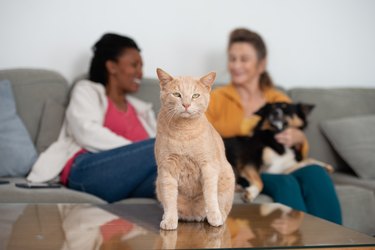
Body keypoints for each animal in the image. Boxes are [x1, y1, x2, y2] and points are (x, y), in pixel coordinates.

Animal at [156, 68, 235, 230]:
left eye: (195, 95)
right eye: (177, 94)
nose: (186, 104)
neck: (184, 133)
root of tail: (193, 216)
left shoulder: (208, 167)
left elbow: (210, 196)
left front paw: (214, 217)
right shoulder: (167, 168)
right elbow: (169, 198)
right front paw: (170, 220)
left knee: (223, 206)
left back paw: (218, 216)